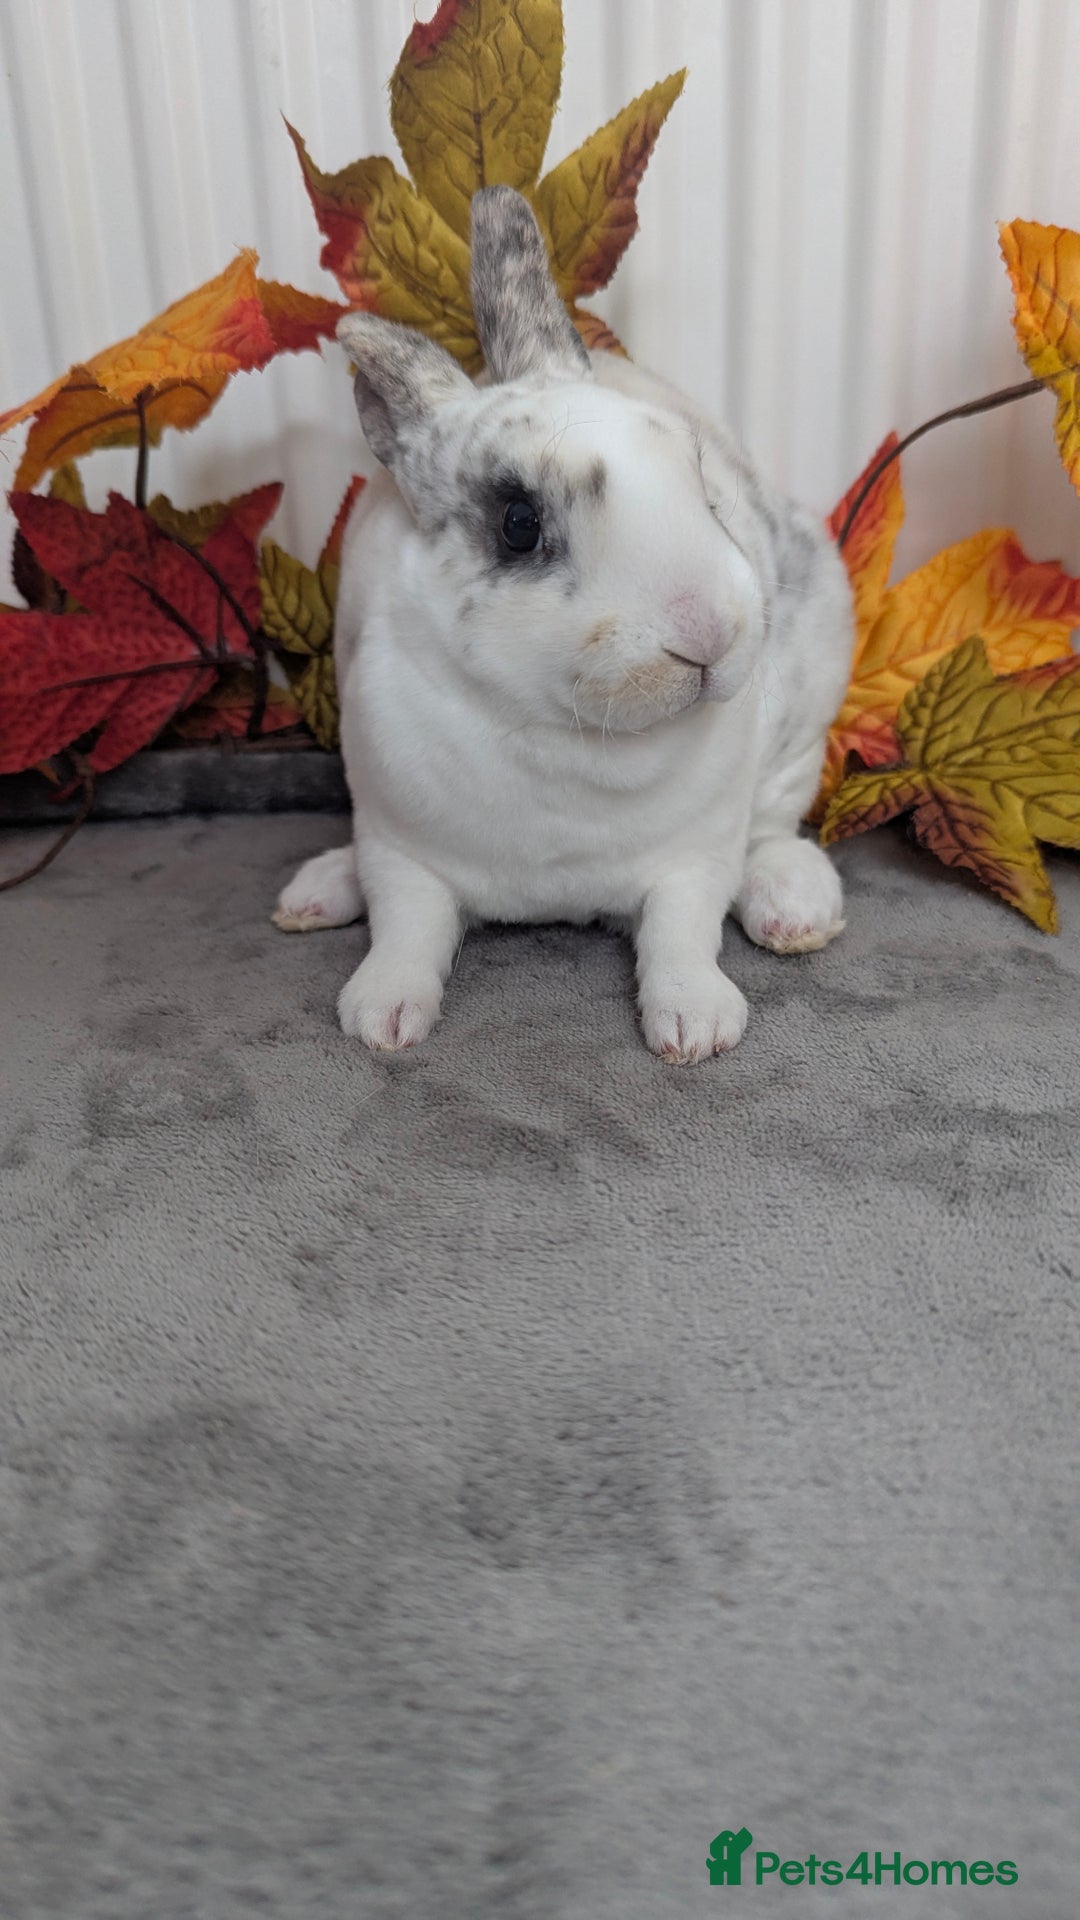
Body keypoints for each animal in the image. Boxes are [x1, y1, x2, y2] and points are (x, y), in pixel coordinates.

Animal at [273, 186, 854, 1064]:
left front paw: (697, 1026)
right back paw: (316, 893)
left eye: (699, 478)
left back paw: (794, 906)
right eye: (518, 524)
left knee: (774, 826)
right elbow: (406, 931)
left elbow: (682, 935)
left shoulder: (692, 862)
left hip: (804, 719)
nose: (711, 632)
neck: (563, 734)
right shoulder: (402, 854)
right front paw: (382, 1018)